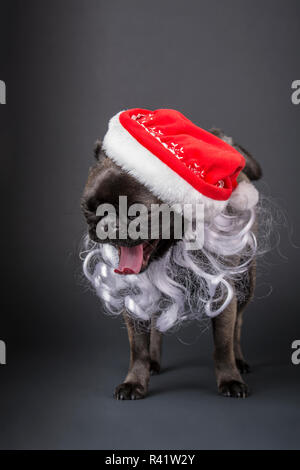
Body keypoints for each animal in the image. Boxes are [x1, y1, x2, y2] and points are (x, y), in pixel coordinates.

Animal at [81, 112, 262, 398]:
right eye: (90, 209)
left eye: (136, 214)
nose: (107, 224)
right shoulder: (134, 298)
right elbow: (138, 347)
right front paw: (135, 380)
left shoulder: (224, 294)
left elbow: (222, 342)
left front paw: (229, 378)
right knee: (156, 325)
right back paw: (154, 362)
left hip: (246, 282)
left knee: (238, 325)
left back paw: (240, 360)